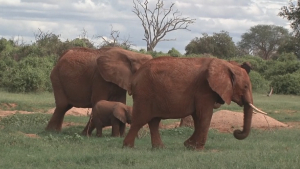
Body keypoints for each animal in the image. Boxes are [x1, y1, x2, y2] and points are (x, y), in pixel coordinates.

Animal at [123, 56, 268, 151]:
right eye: (245, 86)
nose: (236, 131)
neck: (227, 65)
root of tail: (134, 78)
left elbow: (198, 116)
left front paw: (190, 146)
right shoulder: (204, 88)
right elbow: (205, 115)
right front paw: (198, 149)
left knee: (154, 121)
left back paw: (160, 149)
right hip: (144, 94)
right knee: (140, 120)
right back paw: (128, 147)